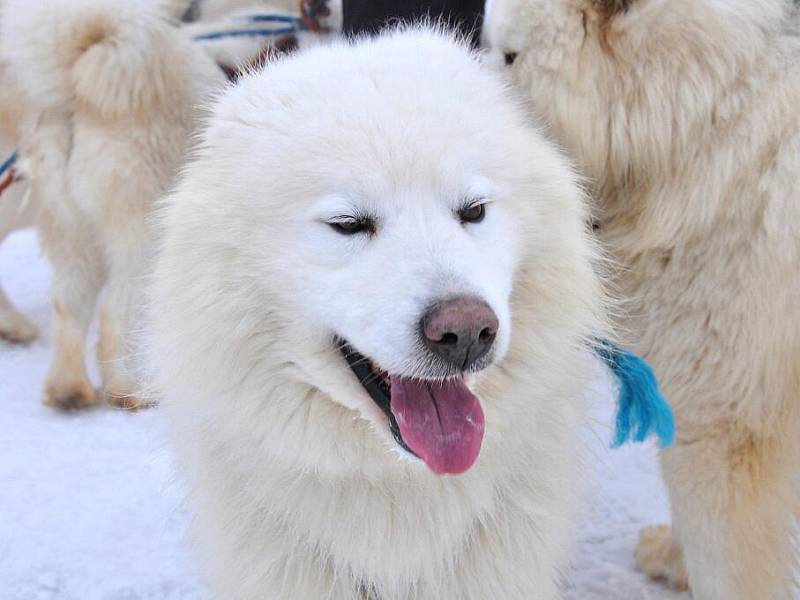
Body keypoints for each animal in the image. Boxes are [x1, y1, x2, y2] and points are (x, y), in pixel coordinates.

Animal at [0, 0, 225, 408]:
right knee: (114, 310)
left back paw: (68, 390)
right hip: (138, 224)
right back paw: (129, 388)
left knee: (68, 303)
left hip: (68, 225)